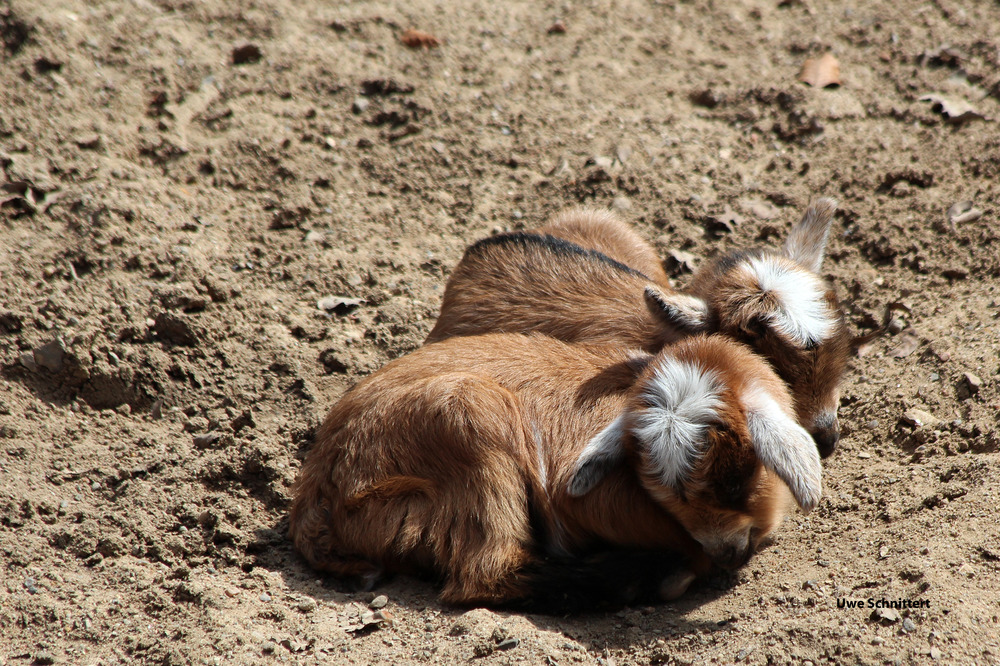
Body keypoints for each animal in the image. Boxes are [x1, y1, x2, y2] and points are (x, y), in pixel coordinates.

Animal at [290, 334, 820, 604]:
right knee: (483, 573)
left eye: (734, 480)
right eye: (660, 495)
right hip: (467, 413)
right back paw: (636, 575)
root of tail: (315, 502)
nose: (729, 553)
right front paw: (680, 570)